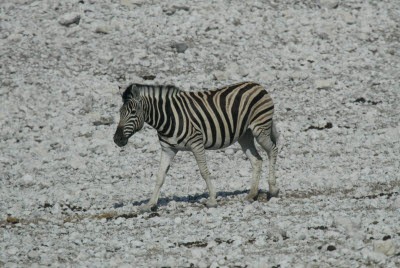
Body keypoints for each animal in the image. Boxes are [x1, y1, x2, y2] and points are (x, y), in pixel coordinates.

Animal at [114, 81, 280, 211]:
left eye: (133, 112)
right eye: (120, 112)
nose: (117, 139)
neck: (169, 117)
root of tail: (257, 85)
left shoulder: (196, 143)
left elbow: (204, 171)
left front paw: (212, 199)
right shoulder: (168, 149)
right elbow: (160, 176)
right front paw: (150, 204)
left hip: (260, 129)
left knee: (273, 149)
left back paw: (273, 189)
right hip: (244, 135)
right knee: (257, 160)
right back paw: (252, 194)